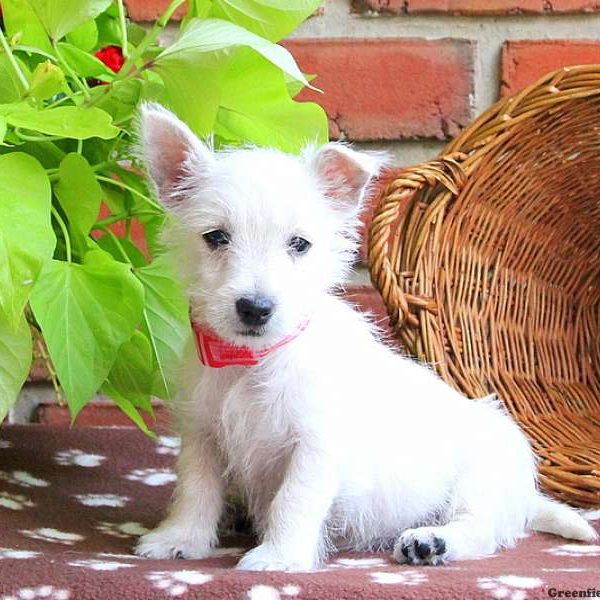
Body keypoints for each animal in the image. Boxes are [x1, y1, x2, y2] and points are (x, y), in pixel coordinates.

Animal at [134, 104, 596, 572]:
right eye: (215, 237)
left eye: (299, 244)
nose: (256, 308)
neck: (253, 361)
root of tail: (524, 496)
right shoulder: (202, 434)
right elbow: (195, 489)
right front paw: (179, 538)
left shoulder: (315, 446)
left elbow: (293, 500)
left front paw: (278, 557)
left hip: (480, 477)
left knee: (481, 529)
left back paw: (431, 542)